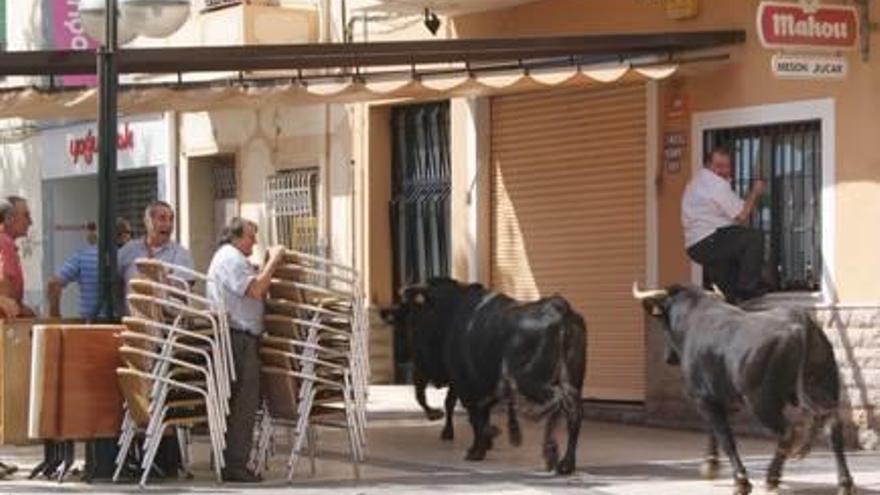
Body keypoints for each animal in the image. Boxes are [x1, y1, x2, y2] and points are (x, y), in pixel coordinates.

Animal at [384, 278, 584, 474]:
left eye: (413, 319)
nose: (410, 355)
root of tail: (559, 310)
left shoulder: (464, 382)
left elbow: (474, 415)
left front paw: (478, 448)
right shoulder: (475, 383)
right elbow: (478, 413)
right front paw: (485, 442)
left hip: (527, 381)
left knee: (557, 401)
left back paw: (545, 447)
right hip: (573, 381)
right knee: (573, 412)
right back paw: (566, 462)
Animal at [632, 282, 852, 495]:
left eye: (663, 323)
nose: (667, 357)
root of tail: (800, 323)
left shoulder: (703, 399)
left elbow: (726, 438)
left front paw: (740, 481)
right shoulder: (724, 400)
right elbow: (715, 432)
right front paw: (710, 465)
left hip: (762, 401)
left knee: (787, 433)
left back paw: (772, 477)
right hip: (823, 389)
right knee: (833, 429)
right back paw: (844, 483)